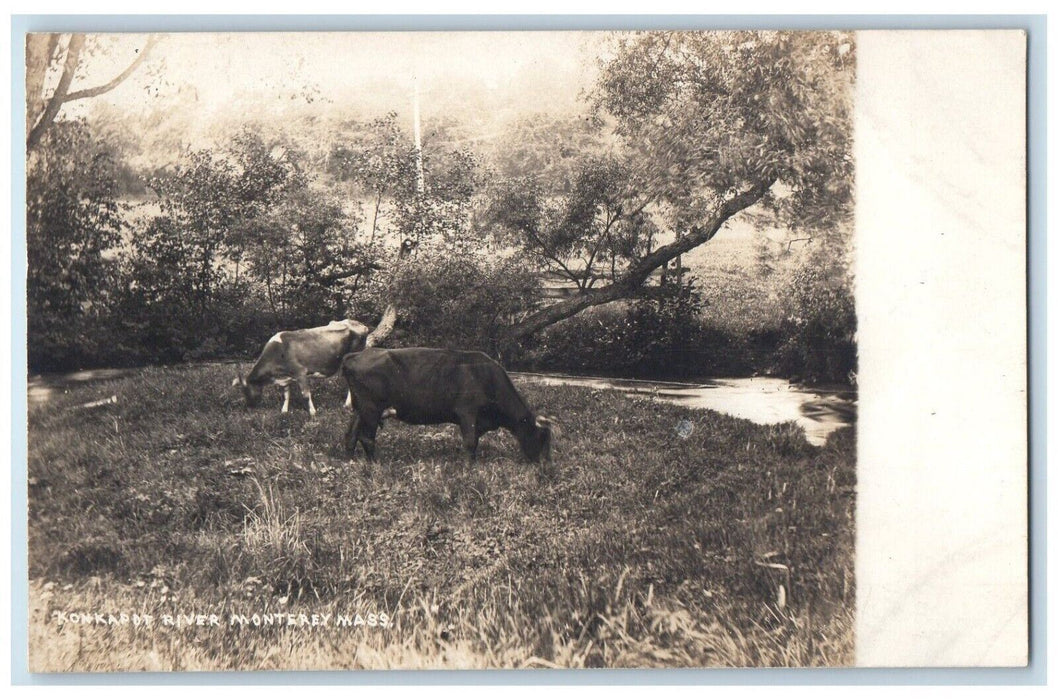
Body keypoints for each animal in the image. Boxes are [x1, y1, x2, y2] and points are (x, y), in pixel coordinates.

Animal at [232, 306, 396, 416]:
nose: (249, 407)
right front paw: (284, 411)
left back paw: (348, 405)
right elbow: (286, 394)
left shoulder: (300, 372)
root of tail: (360, 324)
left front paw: (312, 413)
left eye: (246, 390)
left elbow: (305, 394)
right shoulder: (287, 376)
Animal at [341, 347, 555, 463]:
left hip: (361, 410)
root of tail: (356, 355)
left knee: (351, 435)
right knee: (367, 437)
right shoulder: (467, 412)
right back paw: (375, 465)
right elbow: (470, 442)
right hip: (371, 408)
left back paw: (350, 462)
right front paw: (469, 470)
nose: (545, 466)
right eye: (542, 437)